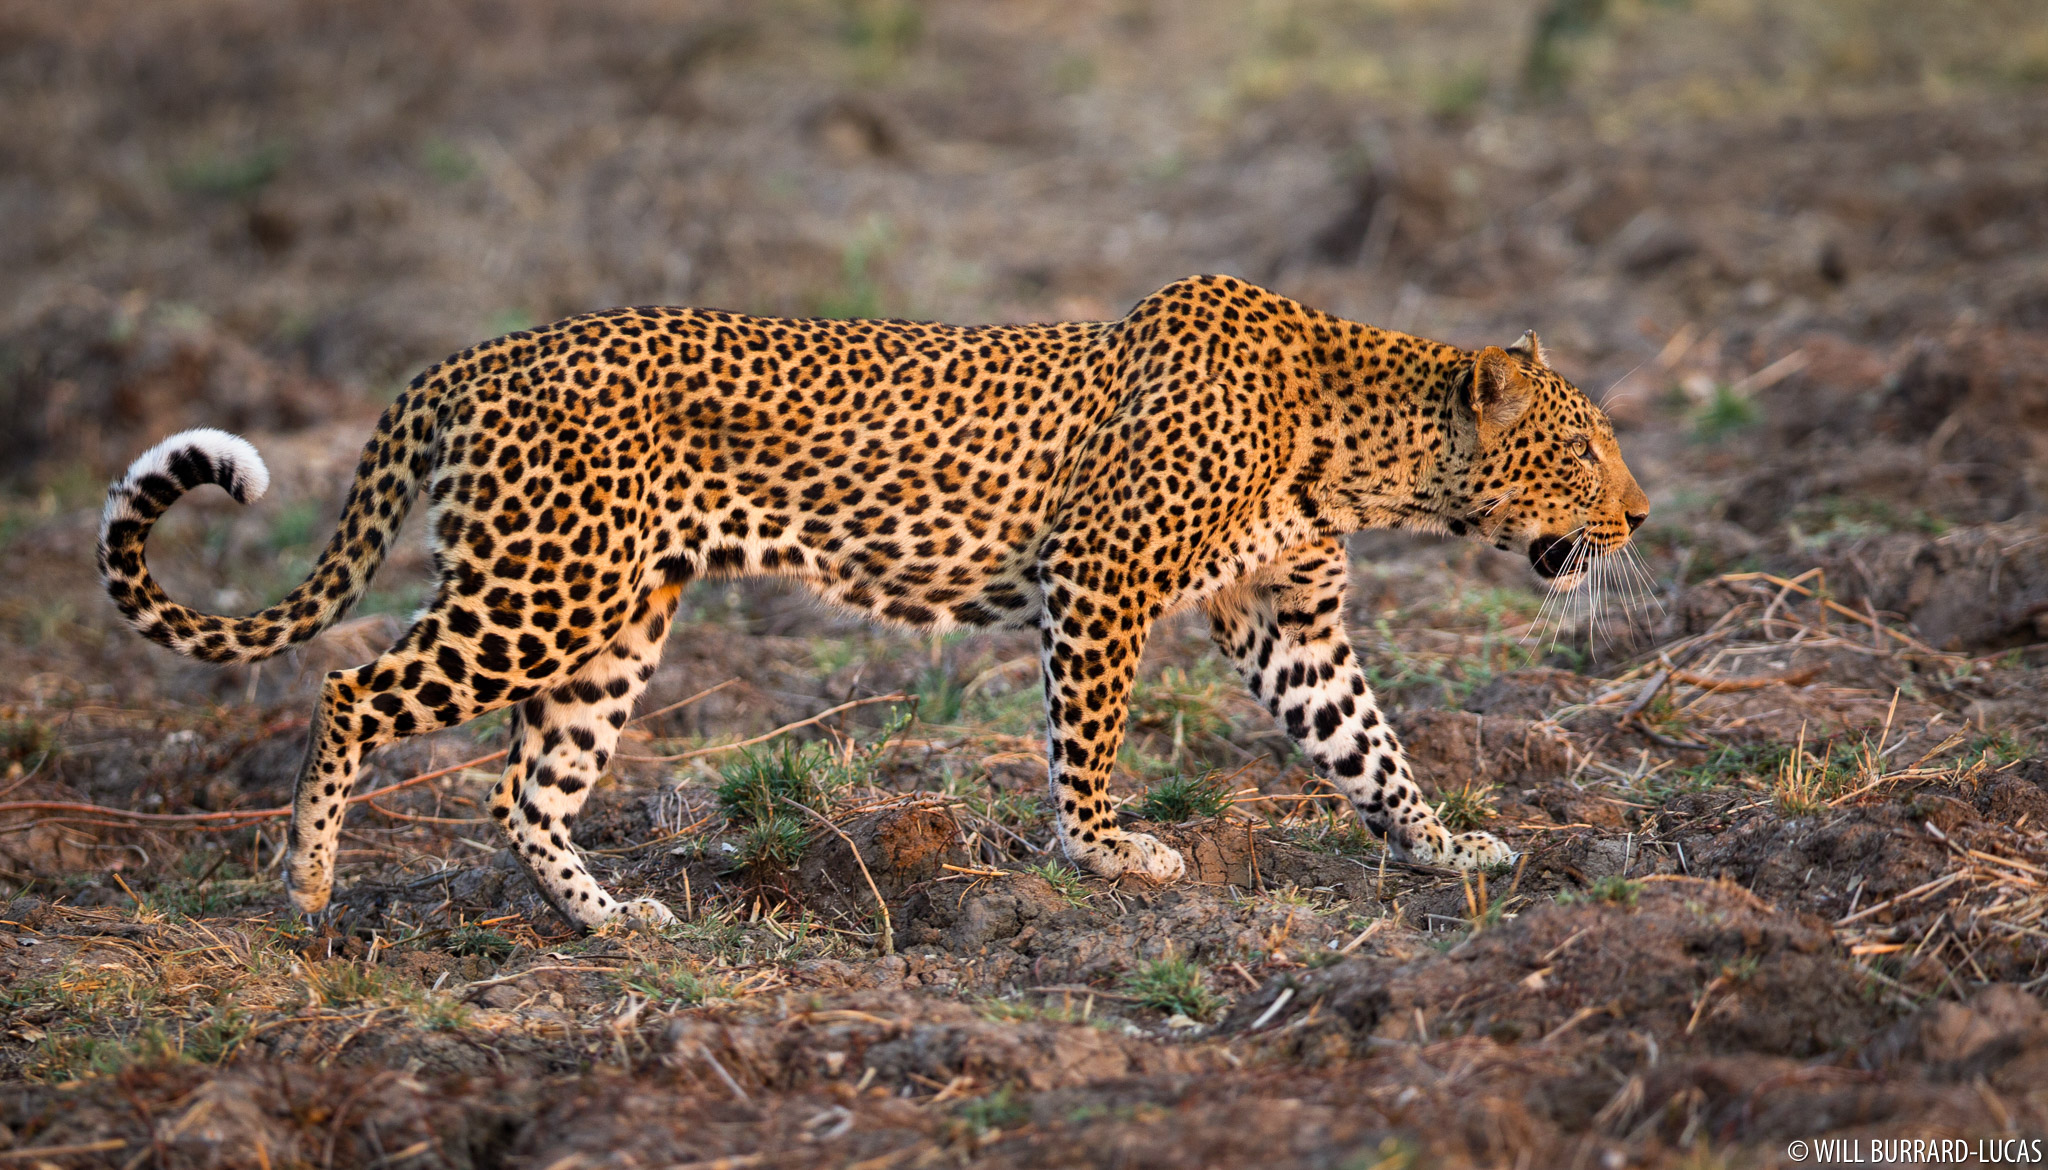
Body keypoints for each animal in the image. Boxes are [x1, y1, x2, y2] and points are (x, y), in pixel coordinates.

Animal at [99, 276, 1646, 934]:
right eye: (1583, 448)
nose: (1637, 517)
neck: (1359, 450)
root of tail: (479, 357)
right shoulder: (1099, 579)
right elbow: (1085, 742)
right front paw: (1106, 857)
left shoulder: (1290, 620)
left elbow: (1366, 747)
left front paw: (1444, 848)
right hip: (538, 591)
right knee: (351, 690)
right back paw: (303, 885)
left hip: (617, 620)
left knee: (523, 790)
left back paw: (611, 923)